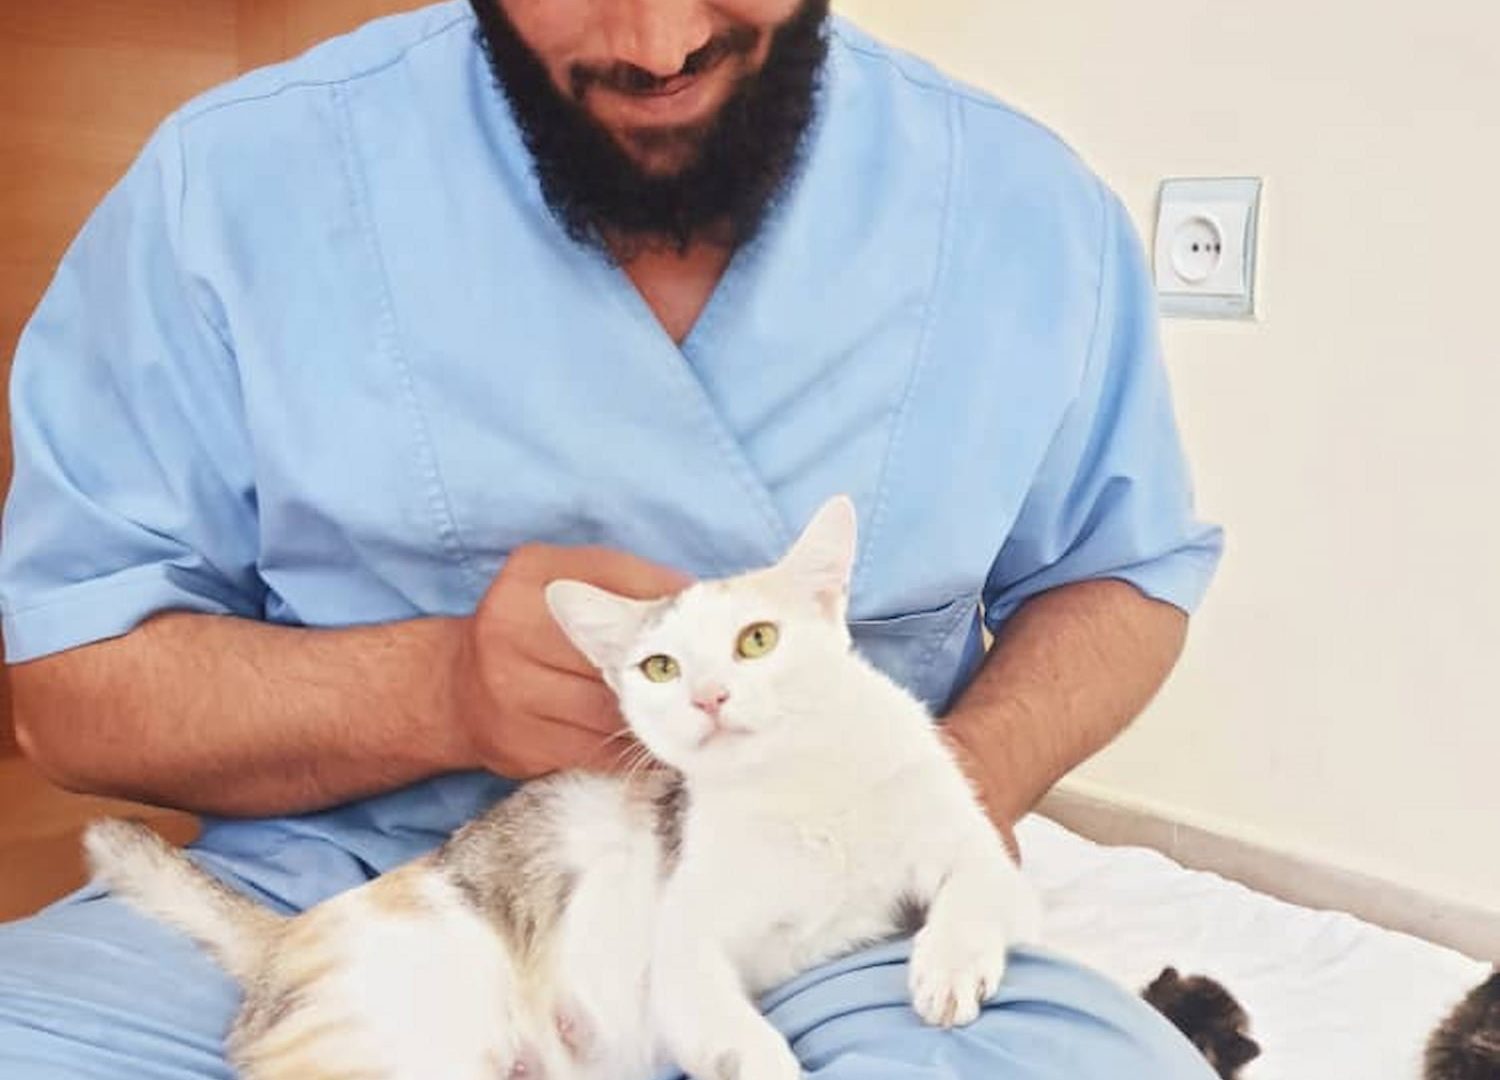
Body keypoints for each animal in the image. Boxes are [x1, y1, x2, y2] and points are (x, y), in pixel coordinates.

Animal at [87, 498, 1038, 1080]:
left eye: (758, 640)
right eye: (660, 668)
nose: (707, 696)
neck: (801, 789)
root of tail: (287, 937)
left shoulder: (968, 842)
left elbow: (978, 886)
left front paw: (949, 965)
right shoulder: (688, 953)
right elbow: (734, 1031)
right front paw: (768, 1059)